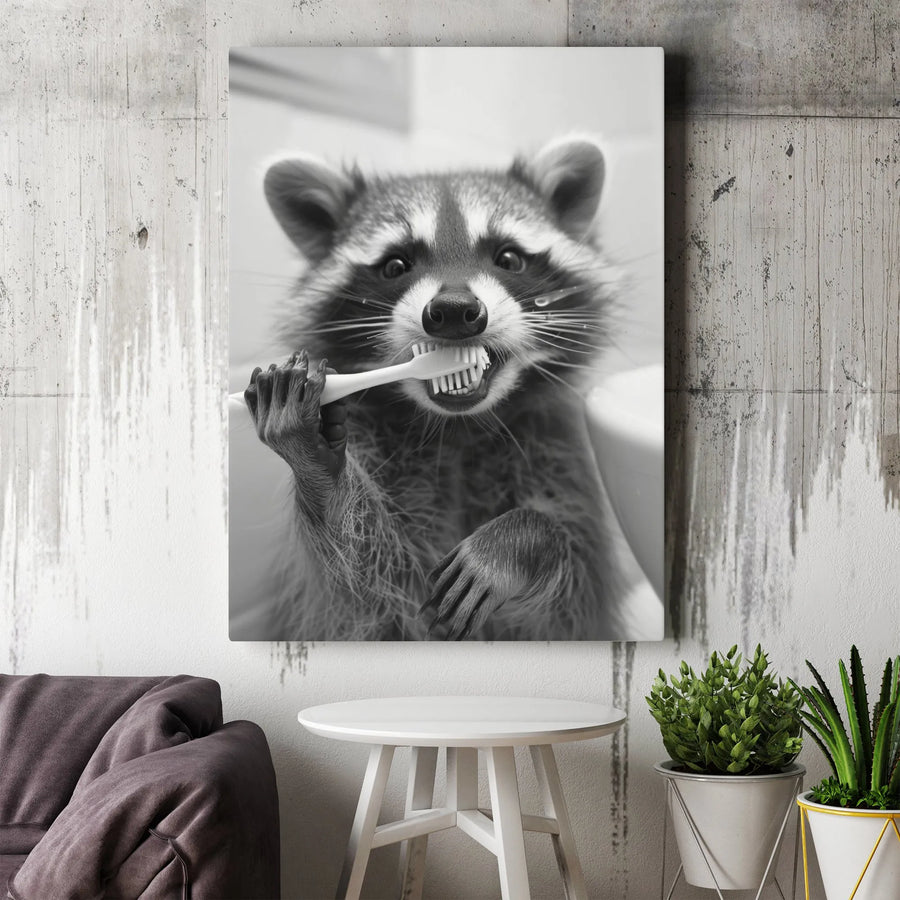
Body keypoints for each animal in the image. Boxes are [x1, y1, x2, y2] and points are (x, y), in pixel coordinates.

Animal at [243, 137, 625, 640]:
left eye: (508, 258)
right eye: (395, 265)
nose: (455, 310)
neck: (457, 426)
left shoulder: (559, 454)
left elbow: (571, 595)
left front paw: (521, 539)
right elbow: (366, 587)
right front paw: (319, 470)